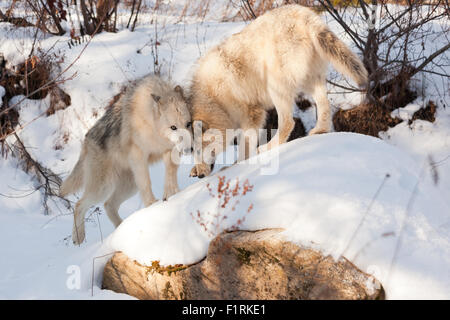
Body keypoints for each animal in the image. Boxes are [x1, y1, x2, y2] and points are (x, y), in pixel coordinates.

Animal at [59, 75, 192, 245]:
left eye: (188, 124)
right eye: (173, 127)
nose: (189, 149)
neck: (151, 123)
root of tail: (86, 141)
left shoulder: (169, 150)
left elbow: (170, 175)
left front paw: (173, 195)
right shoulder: (138, 155)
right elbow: (147, 183)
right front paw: (152, 204)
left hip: (129, 187)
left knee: (108, 205)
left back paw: (121, 230)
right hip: (104, 188)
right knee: (79, 204)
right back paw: (79, 237)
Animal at [188, 4, 368, 178]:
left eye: (199, 150)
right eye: (192, 152)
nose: (201, 176)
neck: (215, 99)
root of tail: (304, 15)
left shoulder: (252, 113)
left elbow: (245, 146)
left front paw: (237, 165)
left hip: (276, 86)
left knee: (288, 122)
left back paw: (266, 148)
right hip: (310, 81)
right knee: (324, 105)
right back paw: (319, 130)